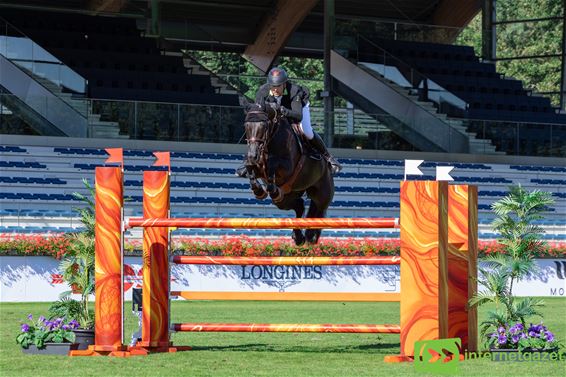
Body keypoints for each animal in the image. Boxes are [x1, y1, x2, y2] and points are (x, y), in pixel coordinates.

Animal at [244, 104, 338, 245]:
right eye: (246, 126)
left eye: (264, 126)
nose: (252, 155)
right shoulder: (257, 166)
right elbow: (250, 167)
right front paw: (258, 190)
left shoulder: (287, 167)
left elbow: (272, 164)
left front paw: (268, 188)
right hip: (286, 198)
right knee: (299, 206)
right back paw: (299, 237)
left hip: (323, 192)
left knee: (320, 209)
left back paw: (311, 236)